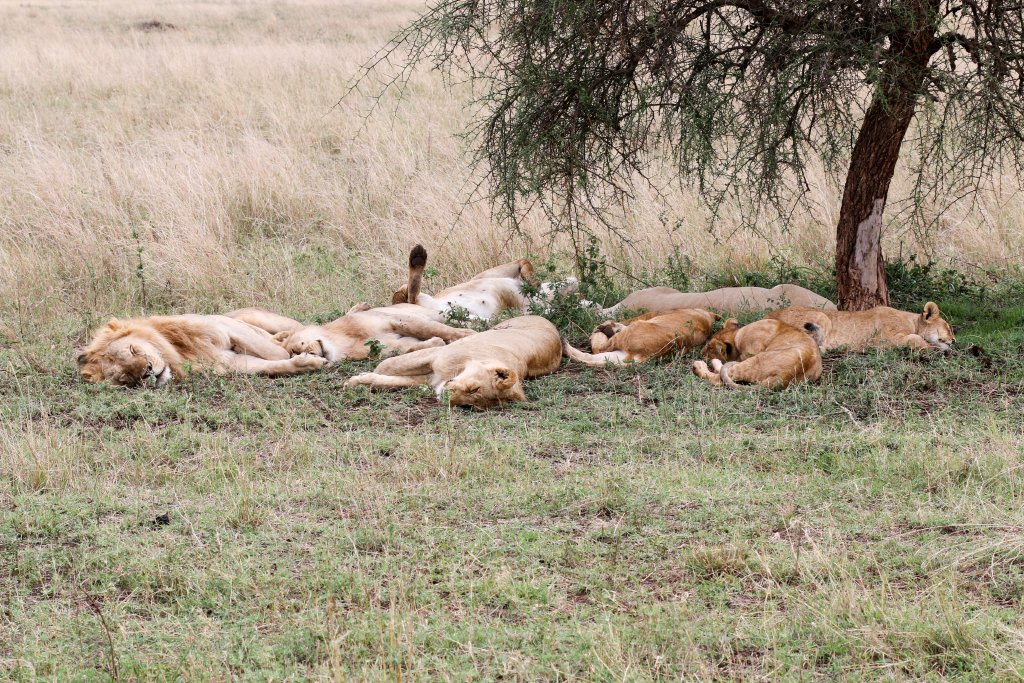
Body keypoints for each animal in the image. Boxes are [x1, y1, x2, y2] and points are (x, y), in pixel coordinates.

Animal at [77, 315, 326, 387]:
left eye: (132, 349)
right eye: (125, 377)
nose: (147, 371)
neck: (178, 353)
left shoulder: (225, 326)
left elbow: (276, 352)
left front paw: (297, 350)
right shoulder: (229, 363)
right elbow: (276, 363)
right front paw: (307, 362)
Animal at [344, 315, 562, 409]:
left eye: (468, 406)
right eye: (473, 389)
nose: (446, 398)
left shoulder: (429, 379)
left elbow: (388, 381)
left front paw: (361, 380)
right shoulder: (436, 356)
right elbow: (387, 366)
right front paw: (357, 378)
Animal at [562, 308, 719, 366]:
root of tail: (645, 355)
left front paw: (610, 325)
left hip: (635, 327)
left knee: (598, 349)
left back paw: (601, 330)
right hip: (619, 355)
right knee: (593, 357)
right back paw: (565, 346)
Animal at [691, 318, 824, 390]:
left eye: (708, 348)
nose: (701, 352)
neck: (736, 335)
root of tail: (785, 377)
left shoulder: (752, 350)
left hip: (755, 361)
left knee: (720, 377)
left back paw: (699, 365)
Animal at [765, 301, 955, 352]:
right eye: (948, 327)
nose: (954, 340)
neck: (912, 322)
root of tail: (768, 316)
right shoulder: (887, 340)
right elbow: (916, 338)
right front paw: (931, 348)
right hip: (821, 316)